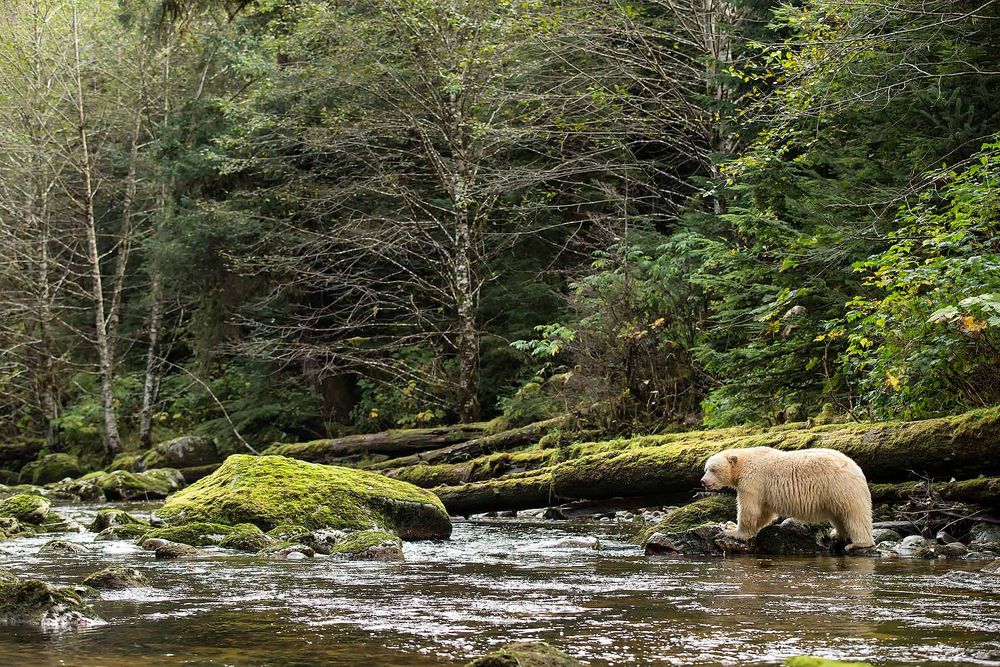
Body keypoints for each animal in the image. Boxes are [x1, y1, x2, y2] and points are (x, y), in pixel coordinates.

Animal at [700, 446, 874, 552]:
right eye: (706, 469)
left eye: (713, 470)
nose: (703, 481)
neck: (744, 462)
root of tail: (858, 469)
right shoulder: (763, 490)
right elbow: (765, 513)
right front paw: (730, 525)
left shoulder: (753, 481)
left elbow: (750, 510)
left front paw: (733, 531)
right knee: (838, 515)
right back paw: (836, 534)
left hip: (840, 487)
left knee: (854, 515)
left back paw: (857, 544)